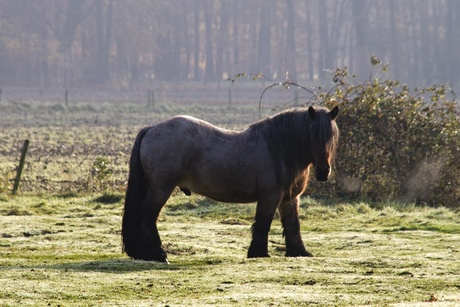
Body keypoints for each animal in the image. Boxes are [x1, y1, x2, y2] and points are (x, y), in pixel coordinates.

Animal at [121, 106, 338, 262]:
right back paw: (158, 255)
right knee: (147, 216)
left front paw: (299, 252)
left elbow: (293, 225)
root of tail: (151, 128)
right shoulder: (270, 196)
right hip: (161, 188)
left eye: (331, 136)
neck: (280, 148)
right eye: (312, 135)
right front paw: (258, 253)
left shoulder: (290, 198)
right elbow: (263, 223)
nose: (323, 172)